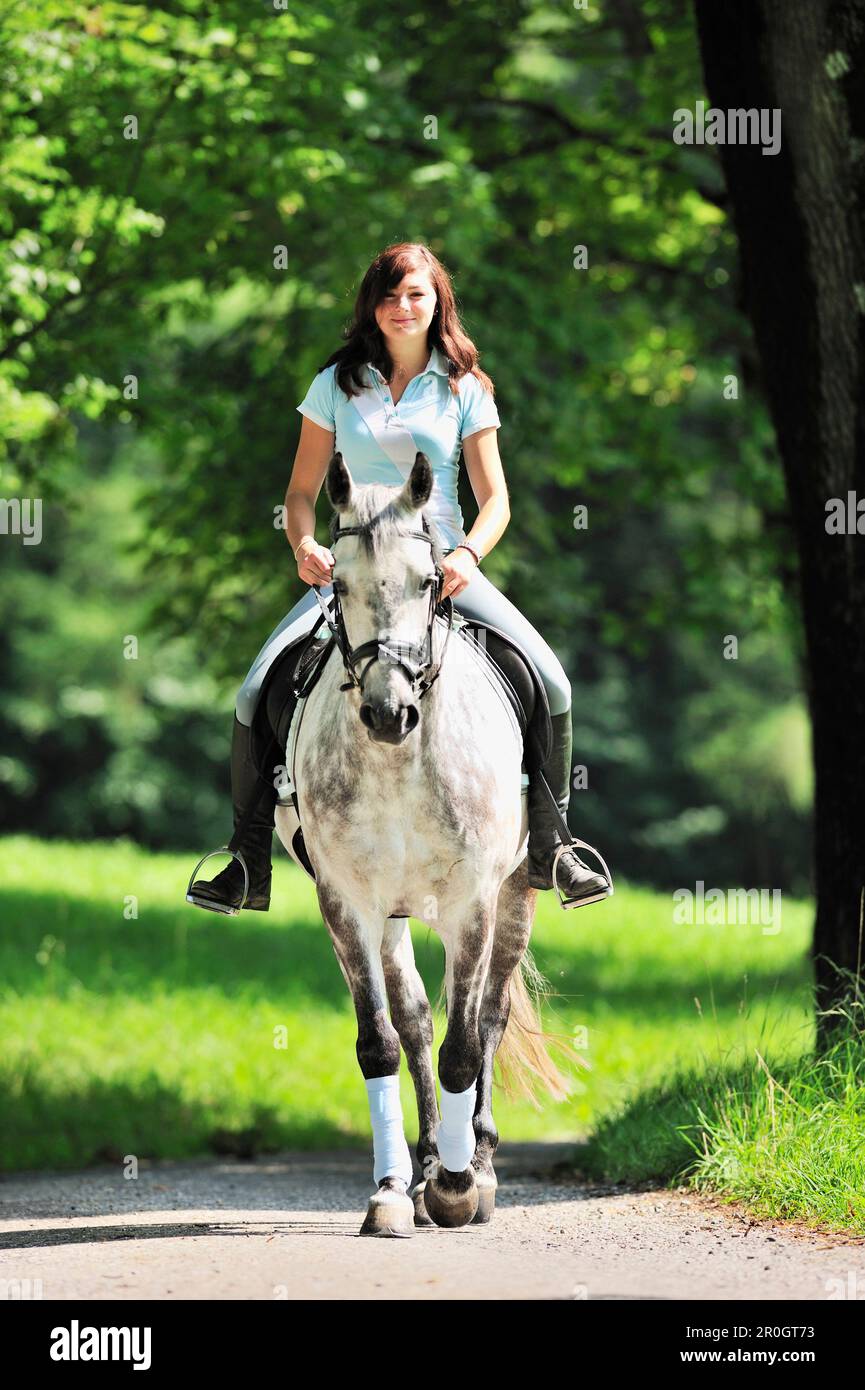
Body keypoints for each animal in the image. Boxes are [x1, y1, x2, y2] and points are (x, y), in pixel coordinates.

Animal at [273, 451, 572, 1236]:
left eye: (430, 582)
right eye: (337, 584)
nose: (390, 713)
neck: (399, 762)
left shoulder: (472, 900)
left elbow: (465, 1043)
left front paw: (459, 1190)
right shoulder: (348, 902)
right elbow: (381, 1040)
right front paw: (389, 1191)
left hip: (516, 893)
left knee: (489, 1015)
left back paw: (476, 1166)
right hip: (394, 911)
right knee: (412, 1021)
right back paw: (426, 1166)